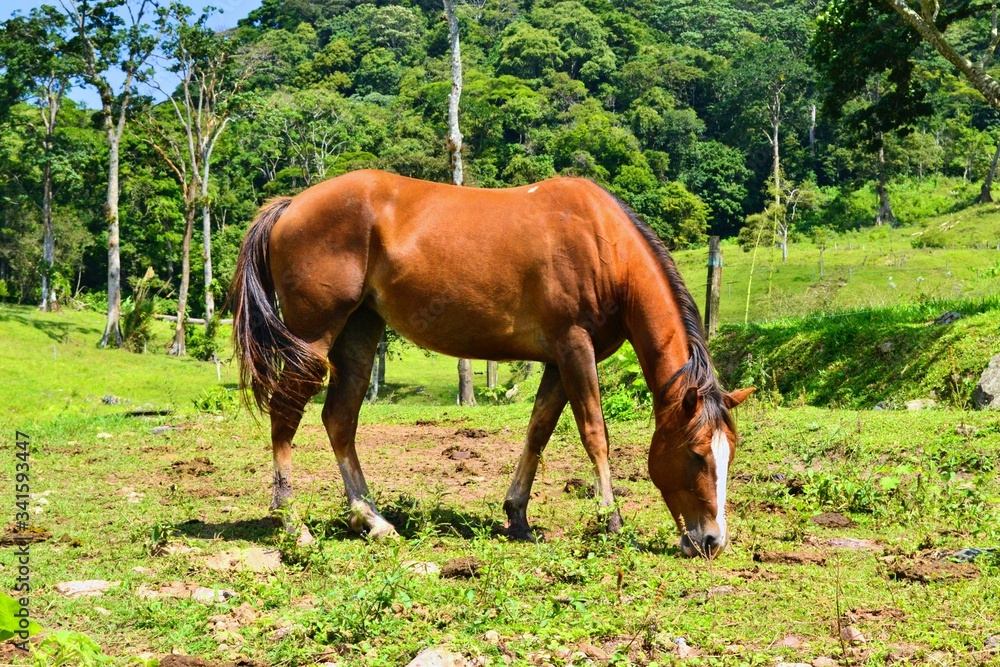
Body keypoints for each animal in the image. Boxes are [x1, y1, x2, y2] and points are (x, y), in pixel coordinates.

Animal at [230, 169, 753, 558]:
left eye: (730, 452)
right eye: (696, 454)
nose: (712, 541)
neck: (602, 243)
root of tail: (291, 206)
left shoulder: (557, 360)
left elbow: (538, 431)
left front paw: (517, 515)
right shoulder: (574, 347)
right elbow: (595, 434)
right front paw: (612, 521)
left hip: (359, 332)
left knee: (339, 419)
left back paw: (373, 520)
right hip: (312, 338)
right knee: (286, 415)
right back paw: (293, 523)